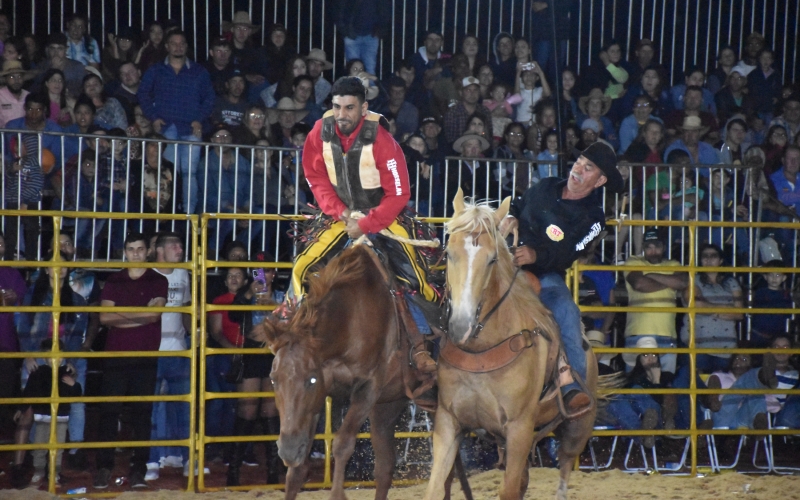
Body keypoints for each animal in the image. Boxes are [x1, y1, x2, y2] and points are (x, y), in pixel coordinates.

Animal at [260, 245, 424, 500]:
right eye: (273, 380)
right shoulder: (317, 400)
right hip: (389, 406)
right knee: (385, 467)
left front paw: (338, 493)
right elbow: (297, 471)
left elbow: (342, 444)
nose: (287, 450)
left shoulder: (367, 390)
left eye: (311, 379)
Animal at [424, 190, 600, 500]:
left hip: (577, 428)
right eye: (448, 253)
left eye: (492, 259)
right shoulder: (448, 421)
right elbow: (435, 488)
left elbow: (508, 491)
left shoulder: (519, 429)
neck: (481, 351)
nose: (460, 326)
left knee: (565, 469)